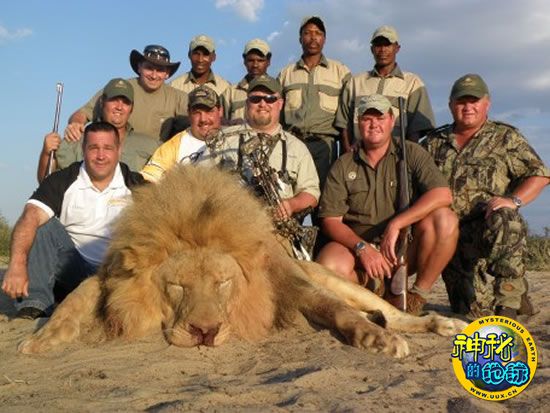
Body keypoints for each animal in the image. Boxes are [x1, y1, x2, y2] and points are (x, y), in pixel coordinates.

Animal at [18, 165, 466, 357]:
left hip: (340, 280)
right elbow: (72, 301)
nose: (205, 332)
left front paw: (379, 341)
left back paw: (442, 324)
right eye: (177, 286)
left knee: (388, 311)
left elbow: (336, 311)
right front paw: (40, 339)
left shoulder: (289, 282)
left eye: (223, 282)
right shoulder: (110, 274)